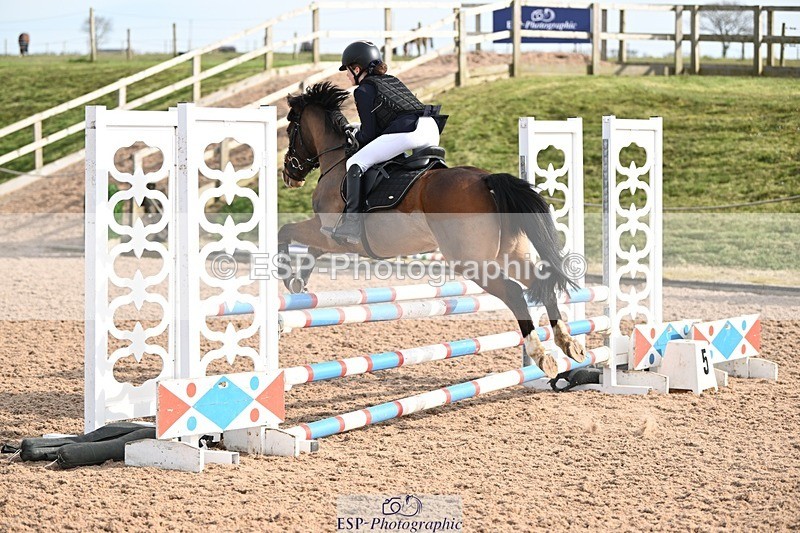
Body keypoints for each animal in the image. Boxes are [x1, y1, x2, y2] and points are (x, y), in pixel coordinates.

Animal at [278, 81, 585, 378]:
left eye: (292, 128)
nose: (289, 175)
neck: (338, 164)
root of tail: (486, 180)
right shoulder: (330, 235)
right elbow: (311, 250)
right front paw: (298, 283)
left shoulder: (330, 232)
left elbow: (286, 231)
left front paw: (287, 275)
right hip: (510, 255)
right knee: (539, 283)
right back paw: (568, 344)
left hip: (472, 262)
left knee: (513, 292)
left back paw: (542, 355)